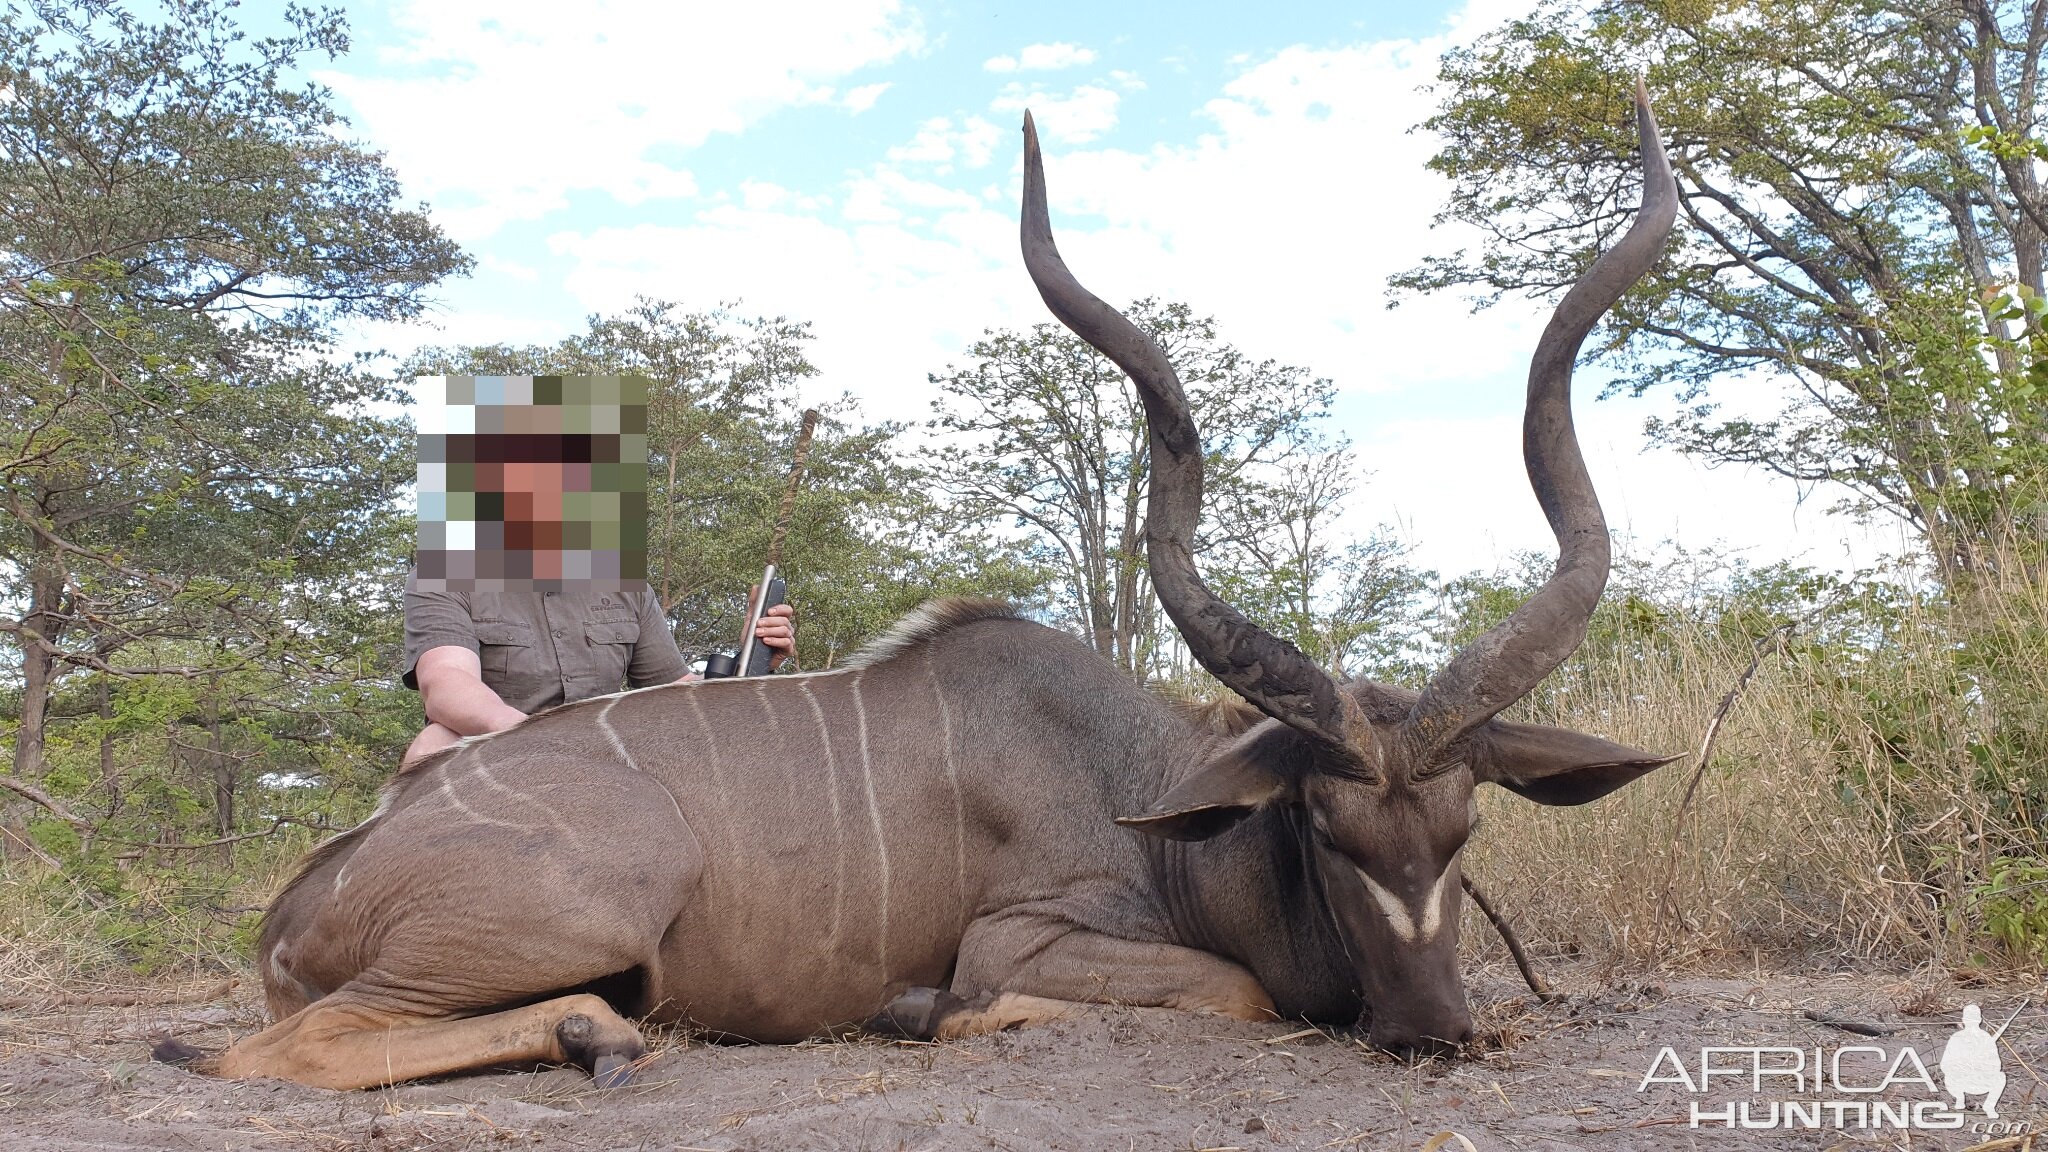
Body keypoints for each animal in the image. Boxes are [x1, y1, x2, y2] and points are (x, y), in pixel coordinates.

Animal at [172, 89, 1679, 1082]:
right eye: (1319, 820)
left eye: (1466, 821)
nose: (1433, 1028)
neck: (1148, 792)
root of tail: (305, 898)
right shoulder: (1028, 944)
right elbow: (1217, 996)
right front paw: (918, 1012)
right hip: (588, 900)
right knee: (273, 1052)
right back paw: (598, 1037)